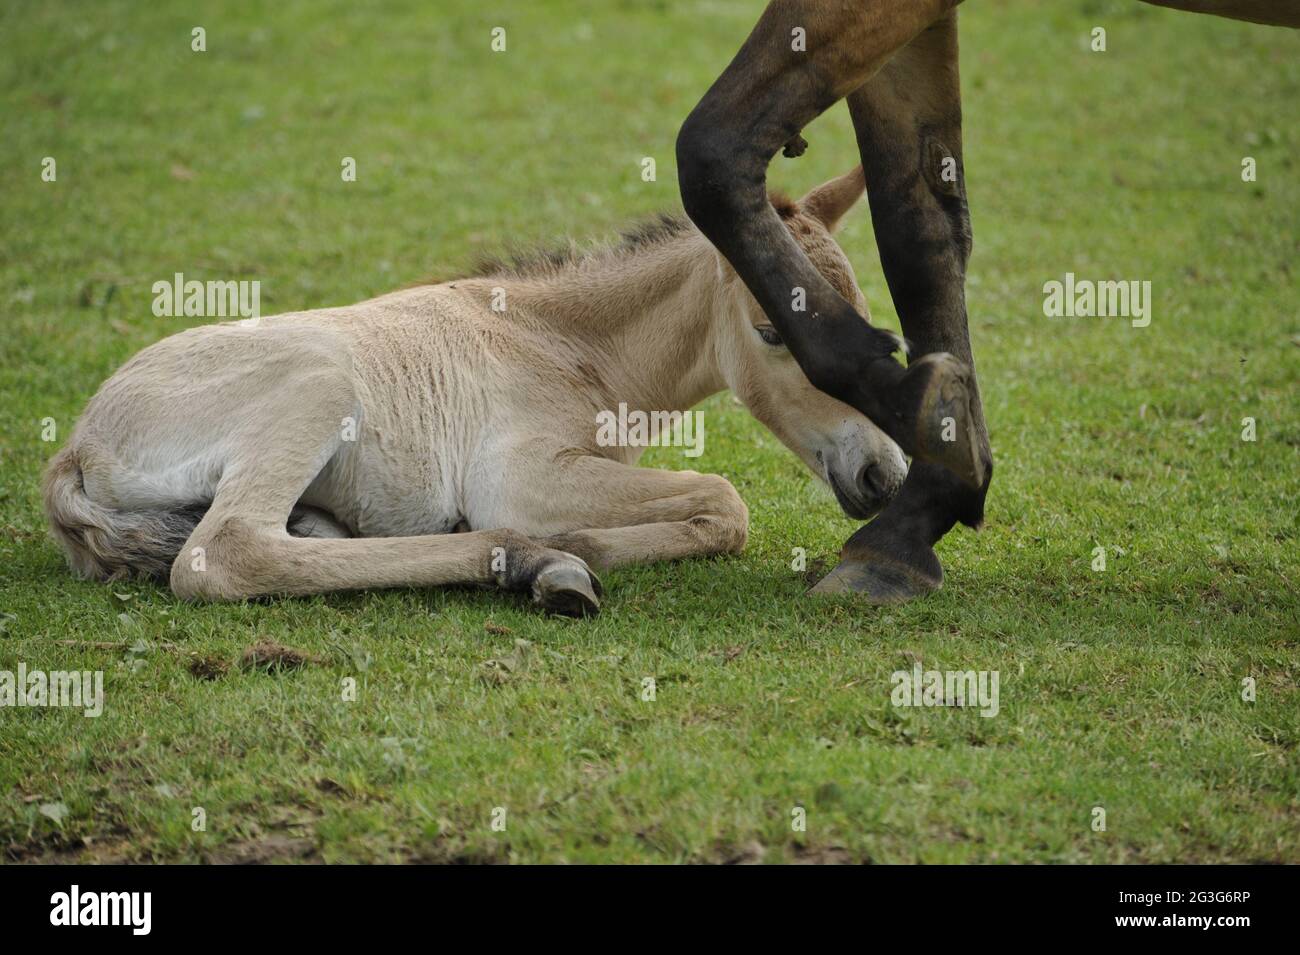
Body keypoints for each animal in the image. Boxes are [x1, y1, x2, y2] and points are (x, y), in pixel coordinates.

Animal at [43, 167, 915, 615]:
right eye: (773, 331)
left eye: (875, 326)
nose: (883, 473)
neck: (560, 342)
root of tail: (75, 449)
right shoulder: (519, 475)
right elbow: (725, 499)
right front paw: (583, 542)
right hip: (318, 388)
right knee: (226, 554)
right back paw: (538, 561)